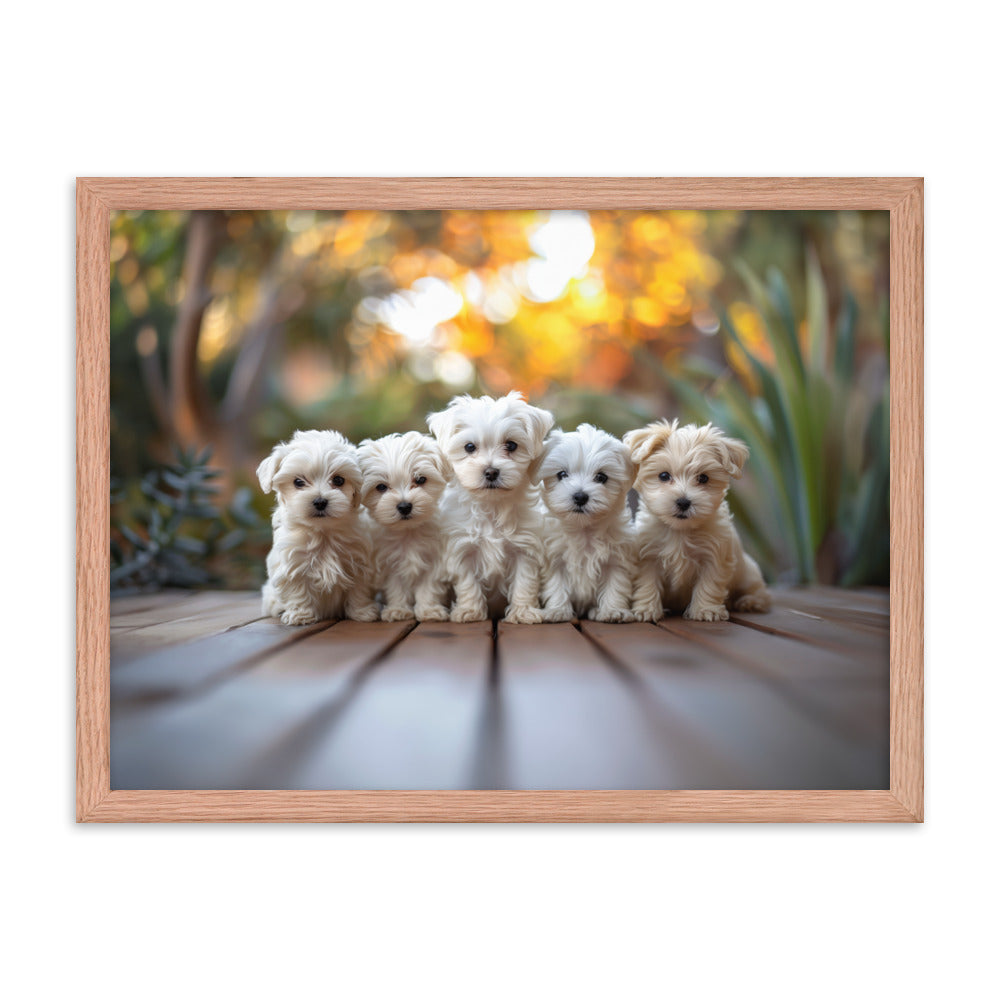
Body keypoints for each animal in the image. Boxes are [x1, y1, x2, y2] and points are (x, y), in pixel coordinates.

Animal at [256, 430, 380, 624]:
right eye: (298, 482)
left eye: (338, 480)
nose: (320, 501)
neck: (323, 532)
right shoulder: (293, 565)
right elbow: (297, 590)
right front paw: (300, 614)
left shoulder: (359, 563)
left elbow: (358, 590)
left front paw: (362, 612)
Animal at [358, 432, 452, 620]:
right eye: (381, 487)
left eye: (421, 479)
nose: (404, 506)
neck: (408, 532)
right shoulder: (389, 564)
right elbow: (396, 588)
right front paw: (398, 610)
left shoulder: (433, 561)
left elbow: (428, 587)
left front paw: (429, 610)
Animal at [424, 392, 556, 620]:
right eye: (469, 447)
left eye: (511, 445)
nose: (491, 472)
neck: (492, 506)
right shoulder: (463, 548)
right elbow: (468, 583)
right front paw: (470, 611)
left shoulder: (525, 548)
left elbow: (524, 582)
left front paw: (523, 612)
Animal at [536, 424, 636, 624]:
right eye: (562, 474)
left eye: (601, 477)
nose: (580, 496)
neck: (584, 529)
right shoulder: (554, 558)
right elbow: (556, 585)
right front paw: (557, 610)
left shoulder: (616, 559)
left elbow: (616, 584)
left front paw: (613, 610)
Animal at [624, 418, 772, 620]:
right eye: (664, 475)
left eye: (703, 478)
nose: (683, 502)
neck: (680, 531)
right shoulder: (648, 557)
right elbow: (647, 583)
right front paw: (645, 609)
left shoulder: (714, 556)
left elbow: (709, 584)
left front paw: (705, 610)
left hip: (748, 573)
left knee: (760, 592)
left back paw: (749, 601)